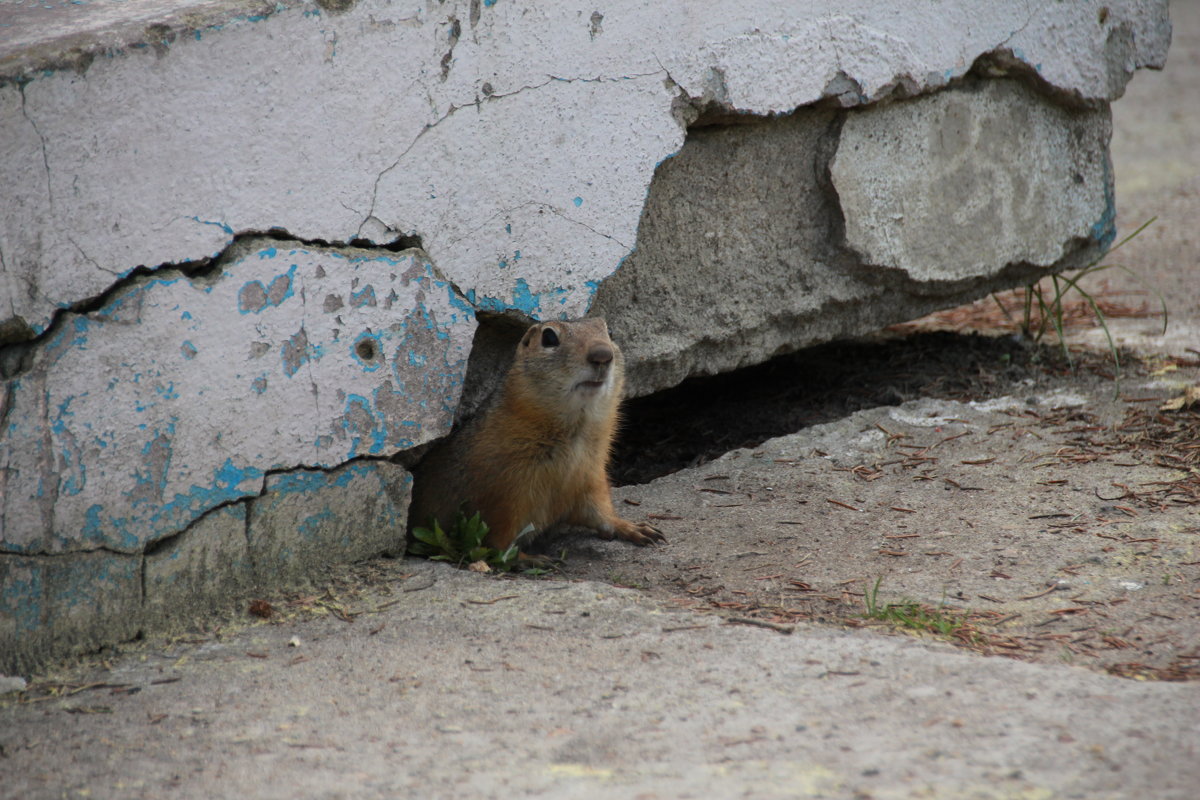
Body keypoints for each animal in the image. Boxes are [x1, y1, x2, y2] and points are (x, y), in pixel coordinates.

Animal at [408, 316, 662, 554]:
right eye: (549, 337)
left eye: (611, 333)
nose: (602, 354)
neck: (575, 431)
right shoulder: (507, 495)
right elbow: (497, 539)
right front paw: (526, 559)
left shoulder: (591, 476)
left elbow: (599, 511)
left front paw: (636, 528)